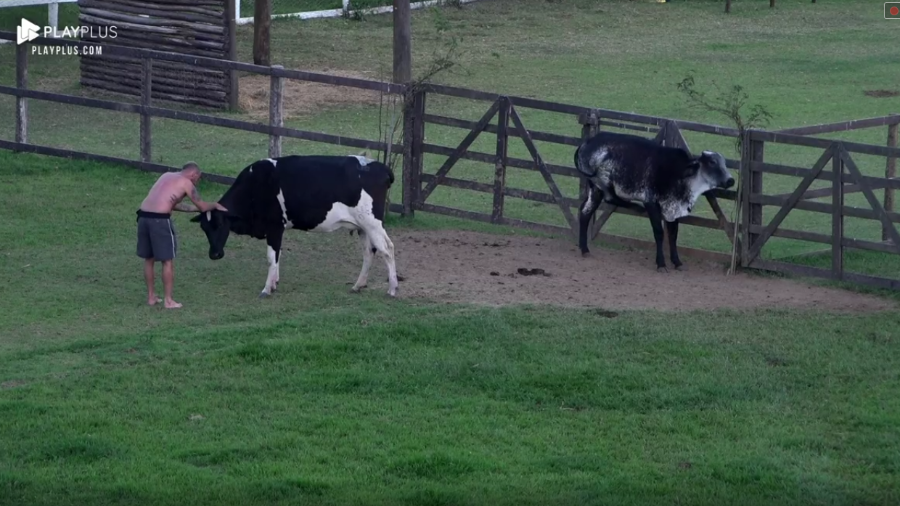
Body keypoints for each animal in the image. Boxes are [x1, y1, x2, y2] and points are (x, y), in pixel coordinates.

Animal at [192, 154, 400, 296]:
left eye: (220, 224)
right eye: (204, 228)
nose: (214, 254)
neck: (255, 185)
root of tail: (380, 167)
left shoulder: (274, 226)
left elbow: (271, 257)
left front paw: (266, 289)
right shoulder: (278, 230)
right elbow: (278, 255)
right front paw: (274, 282)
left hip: (372, 223)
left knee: (387, 249)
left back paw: (392, 288)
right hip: (362, 227)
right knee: (369, 252)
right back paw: (358, 285)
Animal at [576, 130, 732, 272]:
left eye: (724, 162)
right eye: (712, 162)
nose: (731, 180)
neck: (679, 174)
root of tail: (588, 142)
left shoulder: (673, 209)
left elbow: (673, 235)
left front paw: (677, 262)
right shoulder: (651, 203)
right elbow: (659, 233)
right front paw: (661, 264)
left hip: (595, 189)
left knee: (585, 211)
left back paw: (584, 249)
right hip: (602, 181)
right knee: (609, 198)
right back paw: (636, 207)